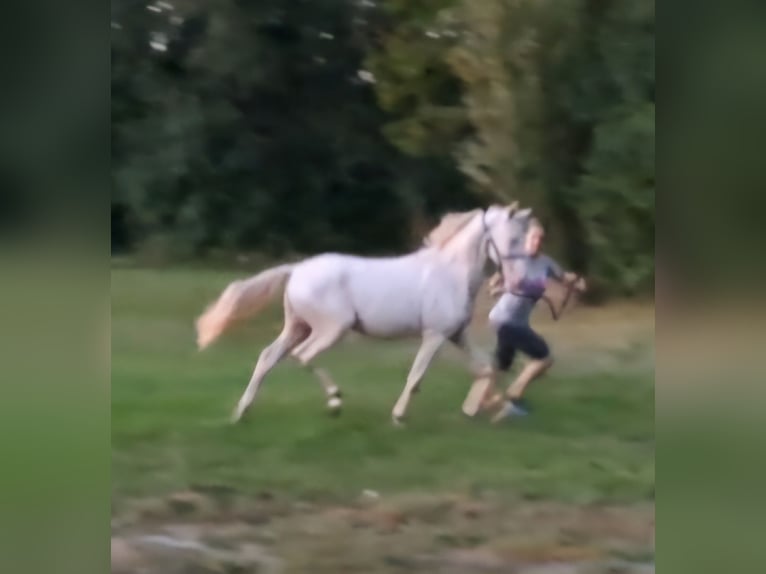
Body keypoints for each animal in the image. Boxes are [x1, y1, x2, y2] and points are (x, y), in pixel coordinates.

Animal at [196, 202, 536, 424]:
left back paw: (242, 411)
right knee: (303, 356)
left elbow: (486, 368)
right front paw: (399, 416)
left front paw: (483, 408)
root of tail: (296, 270)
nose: (520, 281)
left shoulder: (456, 335)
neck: (451, 274)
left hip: (297, 327)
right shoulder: (435, 335)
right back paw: (335, 400)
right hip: (331, 329)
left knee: (268, 358)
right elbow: (417, 375)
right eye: (513, 238)